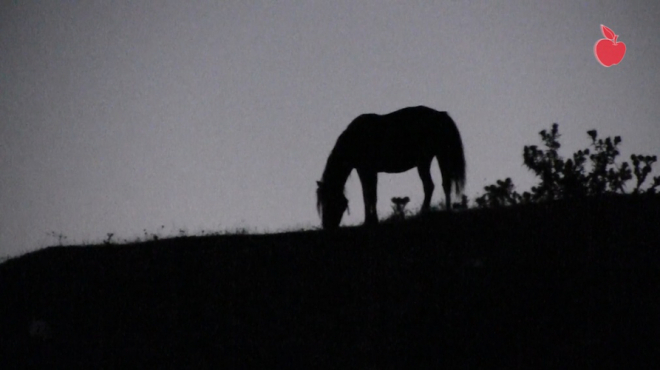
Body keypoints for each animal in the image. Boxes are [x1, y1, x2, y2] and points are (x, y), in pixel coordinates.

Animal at [318, 104, 466, 230]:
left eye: (329, 202)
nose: (327, 226)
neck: (355, 138)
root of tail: (441, 115)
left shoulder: (367, 170)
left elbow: (369, 195)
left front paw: (370, 221)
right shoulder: (368, 171)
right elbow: (370, 195)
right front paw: (371, 221)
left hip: (430, 159)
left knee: (432, 185)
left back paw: (425, 213)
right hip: (434, 157)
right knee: (443, 184)